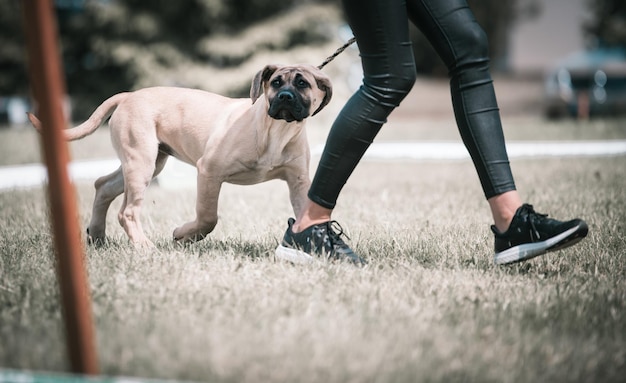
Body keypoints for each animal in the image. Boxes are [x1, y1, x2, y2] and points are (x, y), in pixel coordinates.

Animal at [28, 64, 332, 248]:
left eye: (303, 84)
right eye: (276, 82)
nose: (284, 97)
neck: (276, 130)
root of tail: (127, 96)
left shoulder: (298, 182)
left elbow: (306, 213)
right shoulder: (208, 171)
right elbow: (208, 216)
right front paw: (183, 235)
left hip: (148, 163)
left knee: (102, 185)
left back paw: (98, 236)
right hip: (141, 163)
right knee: (127, 211)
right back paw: (143, 247)